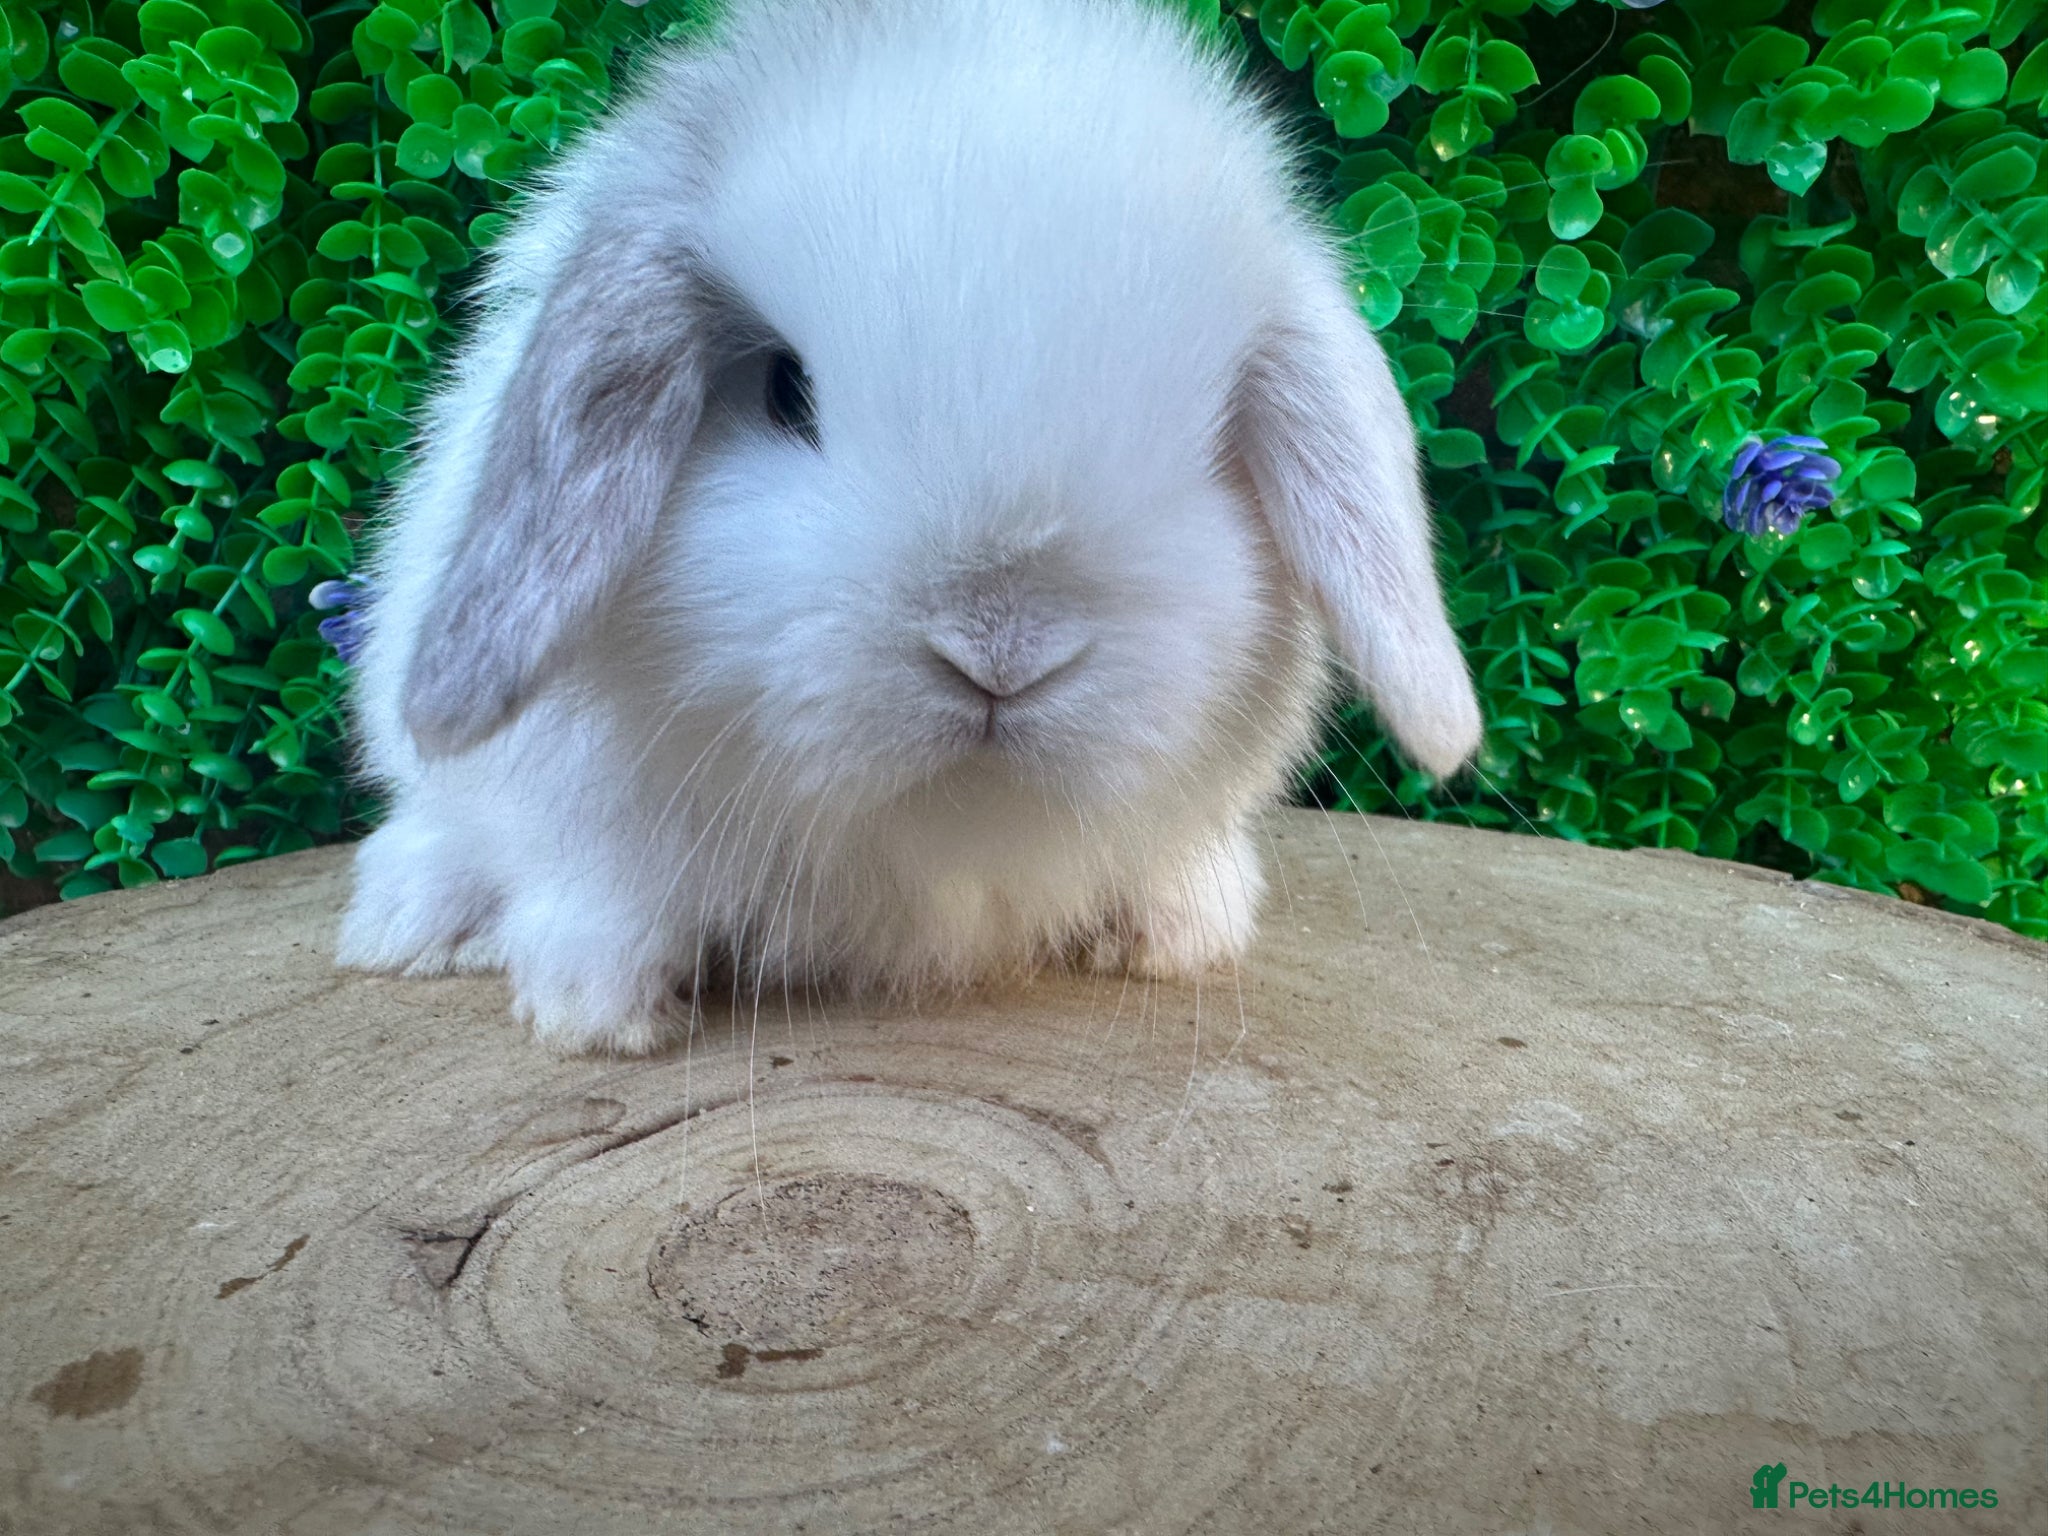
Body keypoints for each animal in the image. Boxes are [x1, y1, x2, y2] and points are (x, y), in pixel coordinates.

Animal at [336, 0, 1483, 1053]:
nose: (1000, 651)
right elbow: (603, 897)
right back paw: (413, 919)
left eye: (1207, 441)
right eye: (785, 390)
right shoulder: (588, 818)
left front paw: (1171, 936)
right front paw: (597, 1012)